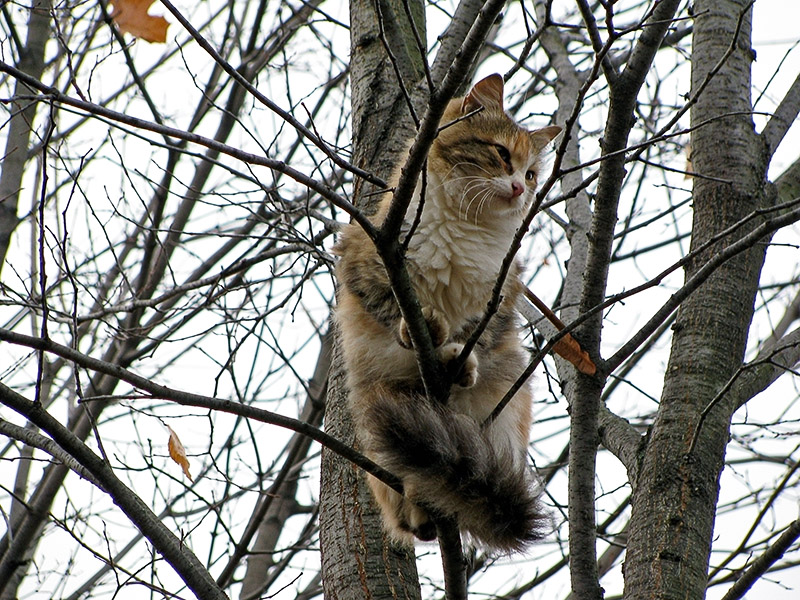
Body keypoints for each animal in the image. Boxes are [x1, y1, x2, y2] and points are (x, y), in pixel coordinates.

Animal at [334, 74, 560, 552]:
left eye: (532, 174)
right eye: (501, 155)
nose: (520, 188)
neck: (466, 224)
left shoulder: (500, 295)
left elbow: (476, 333)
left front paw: (457, 361)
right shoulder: (367, 259)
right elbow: (396, 307)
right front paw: (424, 331)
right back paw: (419, 510)